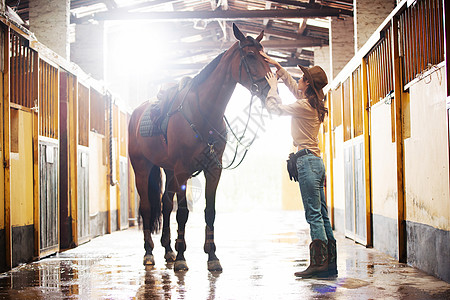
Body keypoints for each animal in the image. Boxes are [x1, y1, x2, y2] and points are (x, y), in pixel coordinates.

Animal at [127, 24, 270, 272]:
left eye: (264, 54)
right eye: (251, 55)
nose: (268, 87)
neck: (202, 112)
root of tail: (137, 113)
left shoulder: (213, 169)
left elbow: (209, 212)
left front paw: (212, 256)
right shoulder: (183, 170)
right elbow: (183, 213)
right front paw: (182, 257)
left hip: (169, 170)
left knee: (165, 205)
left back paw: (168, 250)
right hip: (143, 168)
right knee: (146, 207)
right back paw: (149, 253)